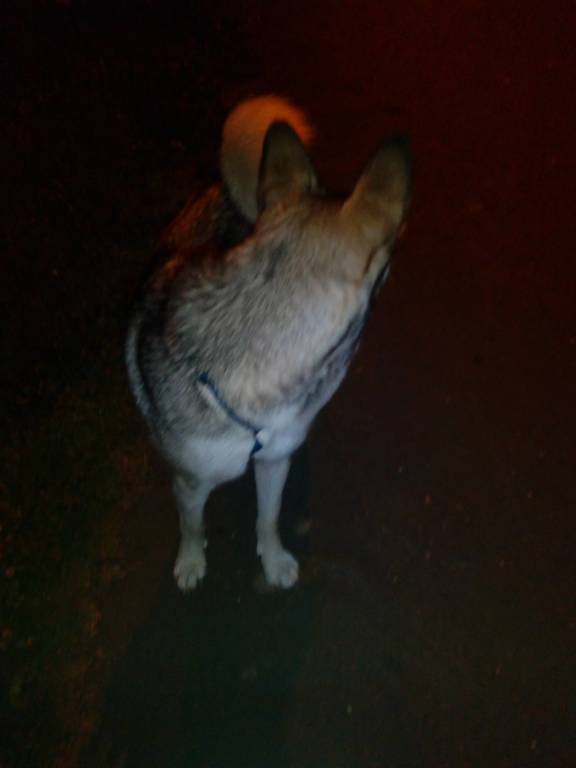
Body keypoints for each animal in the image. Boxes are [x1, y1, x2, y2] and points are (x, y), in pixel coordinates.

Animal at [126, 95, 411, 590]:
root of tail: (225, 184)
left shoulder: (276, 460)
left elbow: (269, 517)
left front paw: (273, 560)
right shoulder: (188, 481)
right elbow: (191, 524)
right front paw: (191, 561)